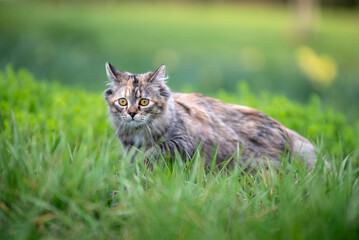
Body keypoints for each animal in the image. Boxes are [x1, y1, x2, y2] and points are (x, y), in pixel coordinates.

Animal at [104, 63, 318, 169]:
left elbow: (155, 151)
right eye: (122, 102)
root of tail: (288, 133)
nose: (132, 114)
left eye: (144, 102)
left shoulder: (183, 142)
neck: (138, 135)